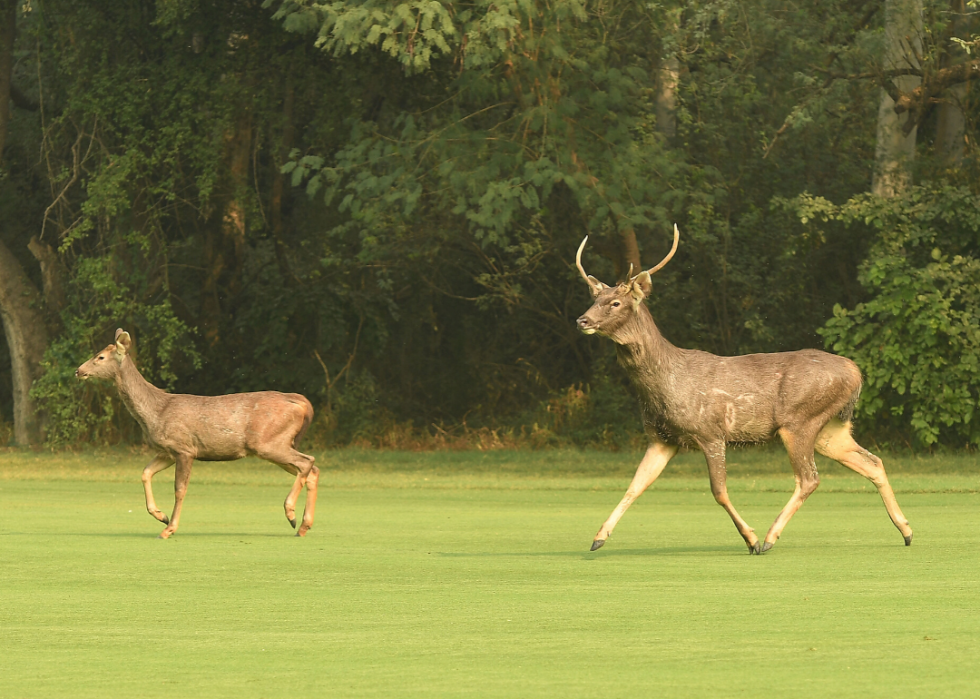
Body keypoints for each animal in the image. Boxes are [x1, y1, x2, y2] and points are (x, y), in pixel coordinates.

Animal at [75, 330, 318, 540]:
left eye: (100, 357)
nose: (78, 370)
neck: (156, 412)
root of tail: (301, 402)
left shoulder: (185, 449)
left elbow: (179, 489)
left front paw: (169, 528)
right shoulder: (167, 451)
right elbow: (145, 473)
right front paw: (161, 516)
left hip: (268, 443)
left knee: (307, 462)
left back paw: (291, 514)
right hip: (277, 444)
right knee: (312, 470)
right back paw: (304, 526)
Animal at [576, 227, 912, 556]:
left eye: (616, 303)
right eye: (594, 298)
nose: (582, 320)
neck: (664, 385)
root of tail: (856, 372)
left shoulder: (710, 431)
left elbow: (719, 491)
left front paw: (750, 538)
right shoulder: (661, 438)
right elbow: (635, 485)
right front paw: (598, 538)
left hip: (800, 420)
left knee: (809, 478)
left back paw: (769, 538)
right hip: (830, 428)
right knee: (872, 462)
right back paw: (906, 530)